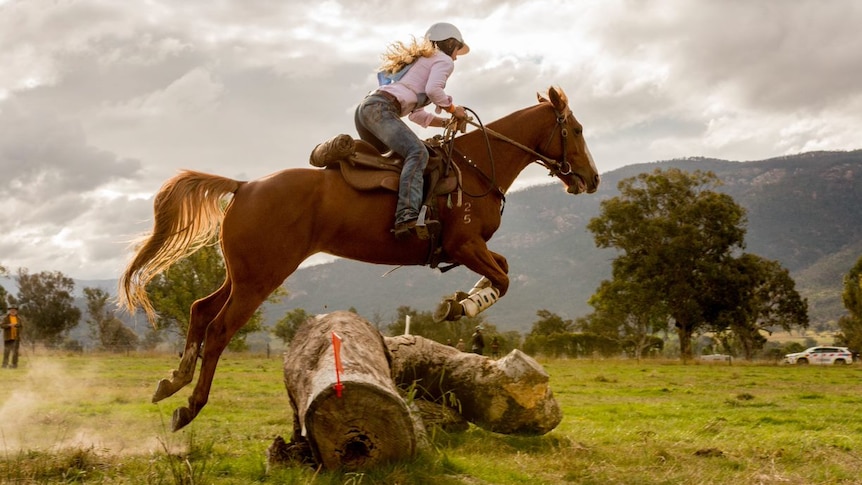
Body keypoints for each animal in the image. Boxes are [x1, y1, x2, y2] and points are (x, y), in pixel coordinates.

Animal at [118, 85, 600, 430]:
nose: (592, 179)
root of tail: (245, 185)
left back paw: (172, 382)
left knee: (200, 310)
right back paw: (190, 407)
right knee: (218, 330)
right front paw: (460, 306)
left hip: (243, 275)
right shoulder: (465, 246)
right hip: (260, 278)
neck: (479, 164)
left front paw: (462, 301)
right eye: (576, 130)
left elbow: (503, 271)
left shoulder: (470, 249)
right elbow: (503, 279)